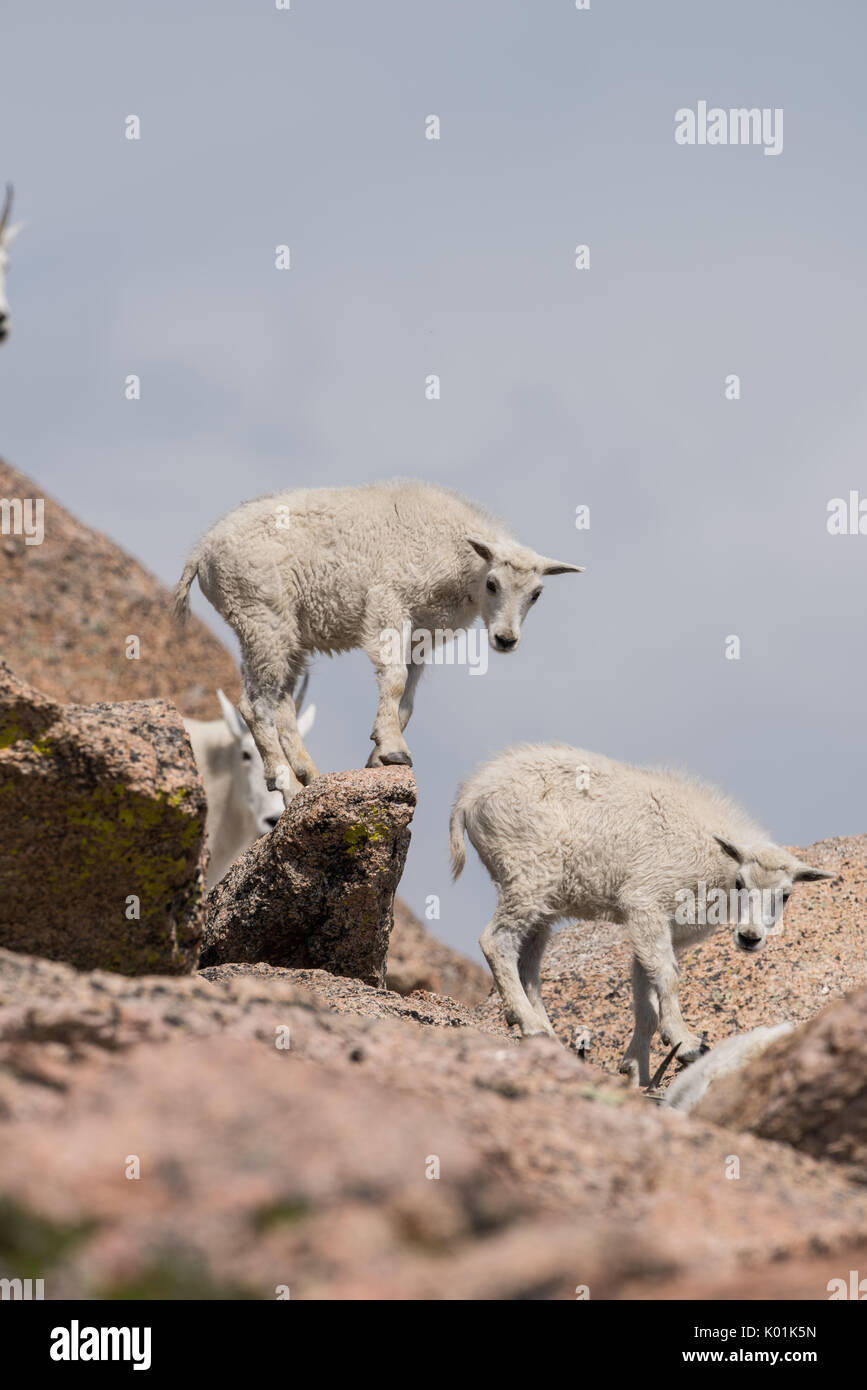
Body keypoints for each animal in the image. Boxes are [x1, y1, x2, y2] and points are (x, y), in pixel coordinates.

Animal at [173, 480, 586, 800]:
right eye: (493, 583)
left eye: (536, 594)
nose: (505, 639)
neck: (458, 556)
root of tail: (201, 553)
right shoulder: (389, 605)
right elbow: (395, 678)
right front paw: (394, 750)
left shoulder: (420, 633)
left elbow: (407, 699)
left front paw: (378, 755)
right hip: (261, 618)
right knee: (255, 704)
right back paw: (284, 781)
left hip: (286, 634)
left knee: (282, 702)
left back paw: (310, 778)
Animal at [450, 750, 828, 1084]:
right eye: (740, 883)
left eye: (785, 895)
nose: (749, 937)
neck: (714, 855)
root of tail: (468, 796)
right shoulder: (646, 902)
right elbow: (667, 978)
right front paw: (687, 1043)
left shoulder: (660, 927)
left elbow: (645, 993)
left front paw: (637, 1069)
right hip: (528, 871)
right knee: (496, 941)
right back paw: (531, 1025)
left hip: (542, 899)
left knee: (528, 962)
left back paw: (545, 1033)